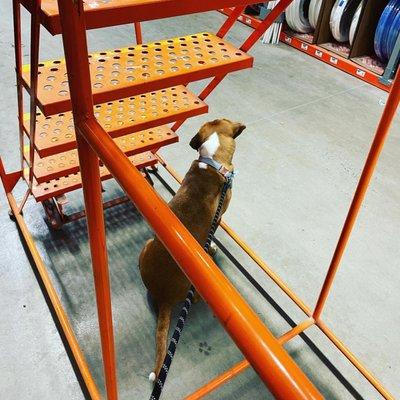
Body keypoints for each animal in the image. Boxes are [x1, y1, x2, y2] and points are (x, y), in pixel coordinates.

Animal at [139, 118, 245, 382]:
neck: (212, 160)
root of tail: (164, 296)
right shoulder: (219, 215)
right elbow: (214, 232)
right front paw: (214, 247)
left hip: (146, 246)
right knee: (195, 299)